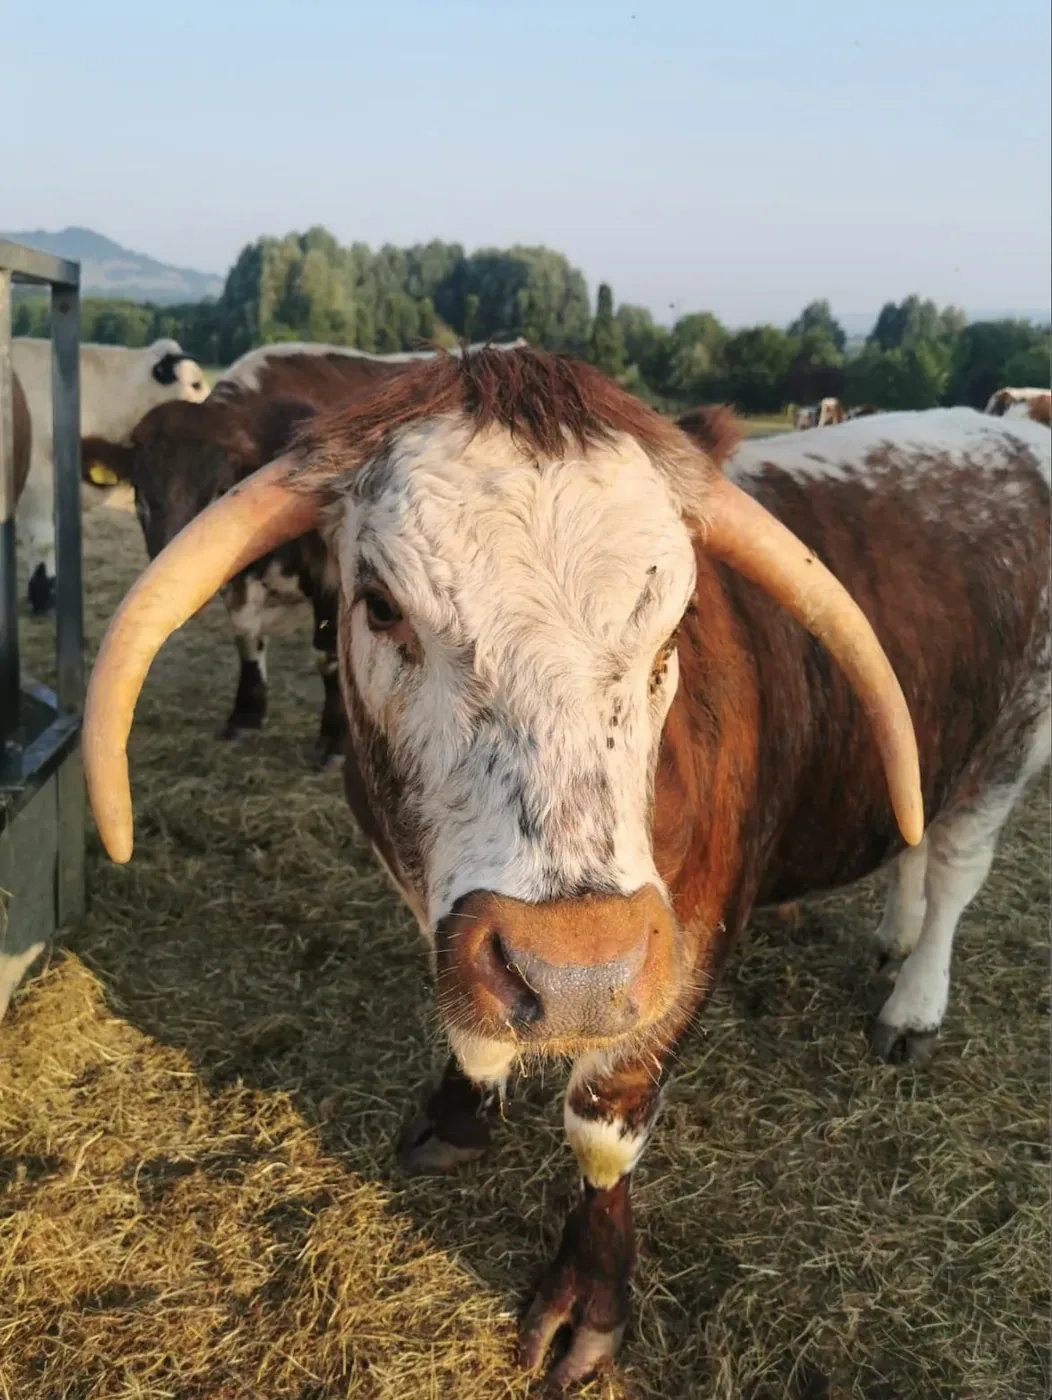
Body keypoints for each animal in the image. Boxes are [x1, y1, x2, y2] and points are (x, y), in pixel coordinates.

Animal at [81, 349, 1050, 1385]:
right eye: (379, 606)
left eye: (676, 626)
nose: (577, 971)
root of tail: (1007, 436)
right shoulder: (444, 916)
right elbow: (473, 1032)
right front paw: (460, 1114)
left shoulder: (682, 947)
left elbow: (602, 1126)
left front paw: (588, 1299)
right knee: (917, 835)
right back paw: (891, 938)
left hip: (1011, 741)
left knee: (956, 866)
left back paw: (914, 1002)